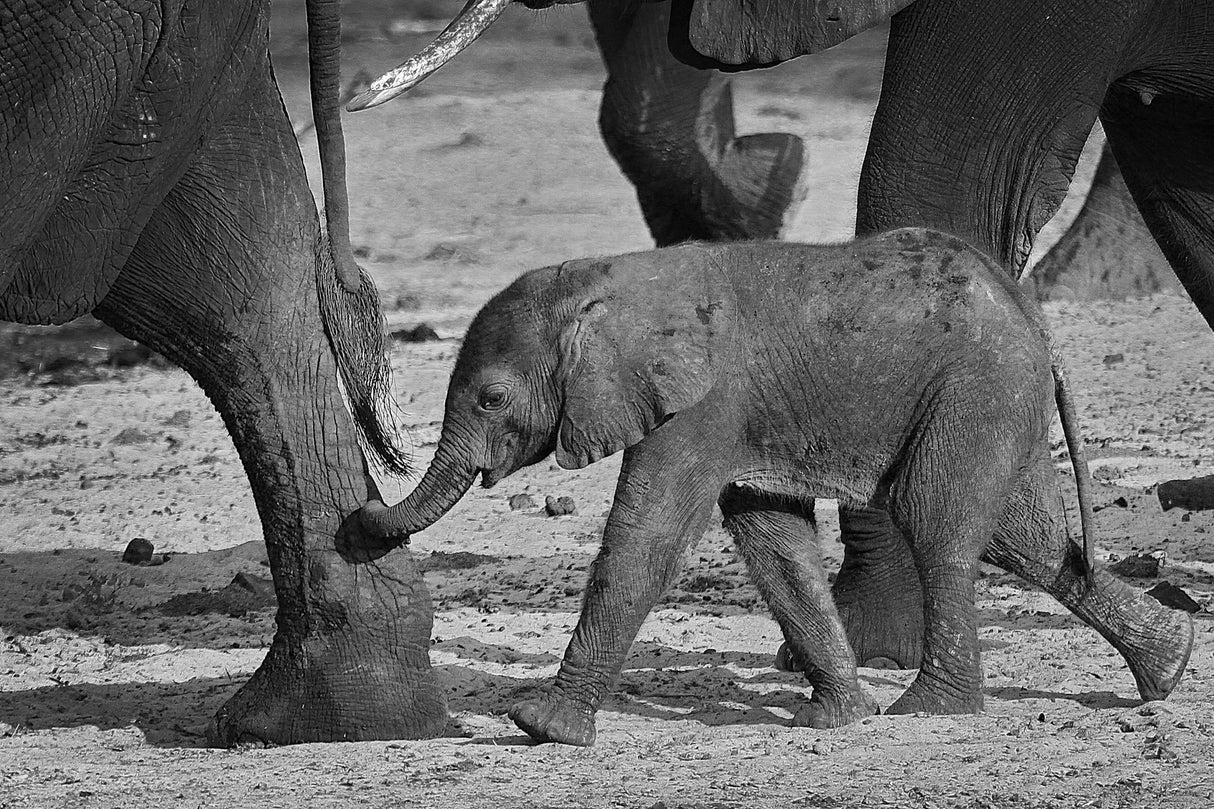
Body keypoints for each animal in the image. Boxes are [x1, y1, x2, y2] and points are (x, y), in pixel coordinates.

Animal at [348, 228, 1195, 746]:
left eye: (492, 398)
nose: (357, 515)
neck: (607, 279)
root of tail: (1034, 319)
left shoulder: (701, 401)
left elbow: (647, 536)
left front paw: (540, 725)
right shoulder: (735, 415)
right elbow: (772, 539)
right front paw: (836, 719)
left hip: (973, 388)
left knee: (940, 525)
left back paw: (933, 708)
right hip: (993, 398)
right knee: (1032, 542)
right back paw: (1170, 666)